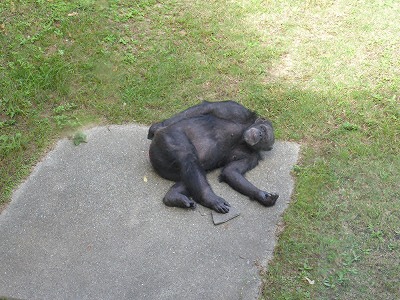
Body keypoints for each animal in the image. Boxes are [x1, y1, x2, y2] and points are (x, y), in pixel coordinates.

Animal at [147, 101, 278, 213]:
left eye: (264, 139)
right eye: (263, 129)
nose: (260, 135)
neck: (243, 140)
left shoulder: (251, 158)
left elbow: (231, 171)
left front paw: (262, 196)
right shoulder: (237, 110)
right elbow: (208, 107)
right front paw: (156, 126)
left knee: (194, 172)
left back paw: (174, 197)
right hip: (167, 138)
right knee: (187, 156)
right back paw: (209, 198)